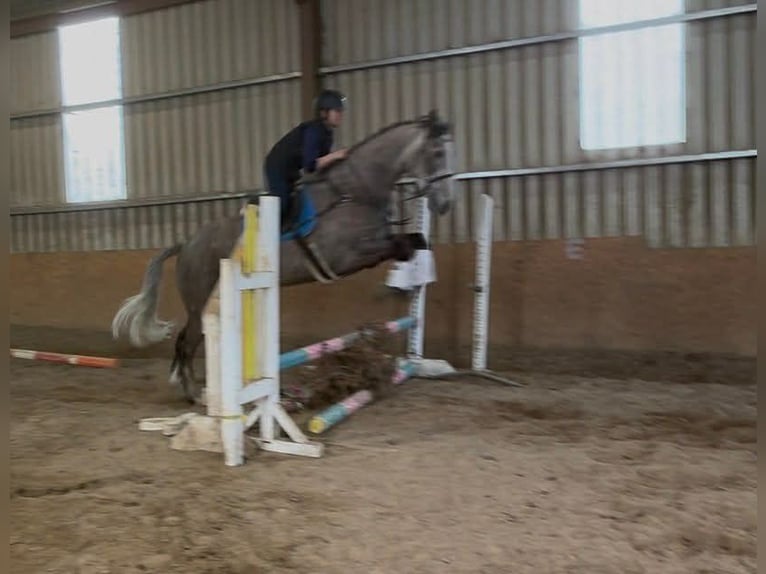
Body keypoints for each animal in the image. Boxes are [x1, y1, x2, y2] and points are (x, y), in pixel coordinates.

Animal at [111, 110, 457, 403]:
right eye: (437, 154)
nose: (445, 205)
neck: (356, 191)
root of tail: (187, 244)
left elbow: (416, 241)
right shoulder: (346, 257)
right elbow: (397, 247)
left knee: (187, 339)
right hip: (200, 303)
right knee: (188, 341)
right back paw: (195, 394)